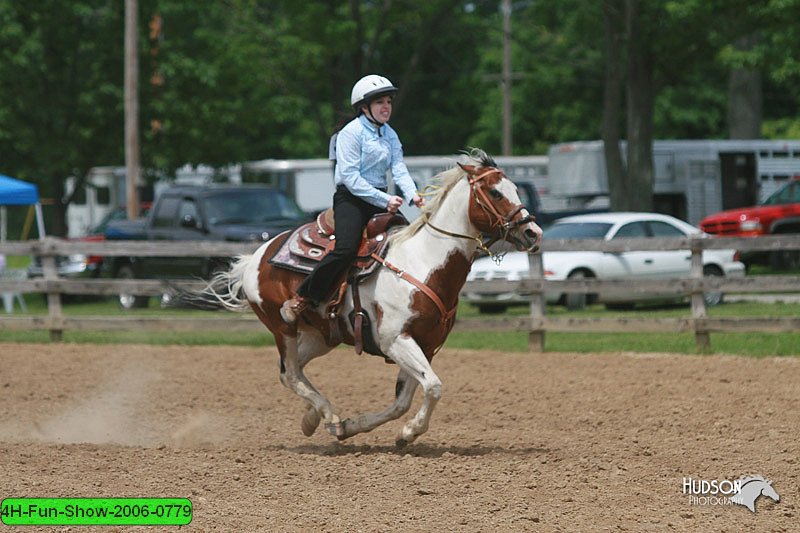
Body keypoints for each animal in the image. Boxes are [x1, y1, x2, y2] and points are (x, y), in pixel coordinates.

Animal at [198, 150, 544, 444]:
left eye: (515, 189)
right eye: (496, 192)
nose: (533, 233)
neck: (423, 261)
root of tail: (257, 257)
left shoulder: (426, 345)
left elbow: (404, 400)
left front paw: (376, 430)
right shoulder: (395, 340)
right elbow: (433, 386)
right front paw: (408, 431)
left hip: (323, 336)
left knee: (289, 371)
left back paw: (316, 418)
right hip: (283, 327)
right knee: (292, 373)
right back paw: (326, 415)